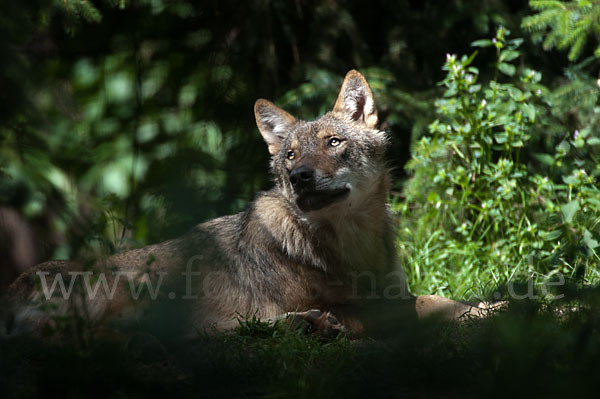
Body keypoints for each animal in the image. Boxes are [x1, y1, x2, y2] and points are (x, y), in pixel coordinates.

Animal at [2, 70, 490, 340]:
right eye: (290, 154)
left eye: (334, 142)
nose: (299, 176)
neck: (351, 247)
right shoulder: (365, 306)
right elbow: (430, 302)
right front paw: (491, 310)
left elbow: (437, 296)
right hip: (131, 286)